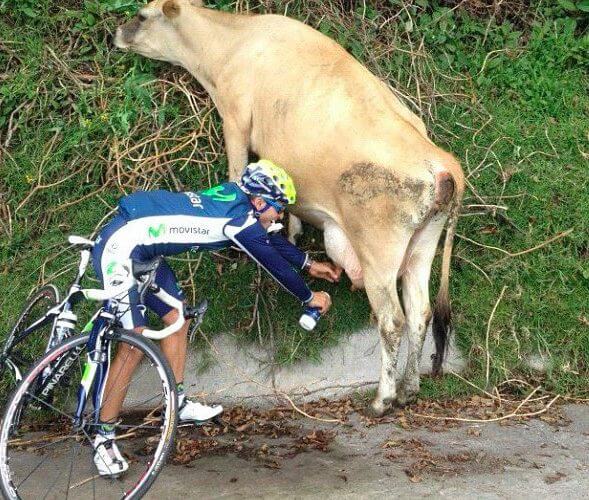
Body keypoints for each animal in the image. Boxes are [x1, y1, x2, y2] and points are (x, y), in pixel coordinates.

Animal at [115, 0, 464, 418]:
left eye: (142, 15)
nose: (116, 32)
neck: (234, 43)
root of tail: (441, 162)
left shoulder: (235, 117)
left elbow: (236, 170)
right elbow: (291, 211)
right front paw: (293, 235)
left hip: (379, 250)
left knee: (392, 320)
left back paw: (383, 399)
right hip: (422, 246)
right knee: (419, 313)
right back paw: (410, 388)